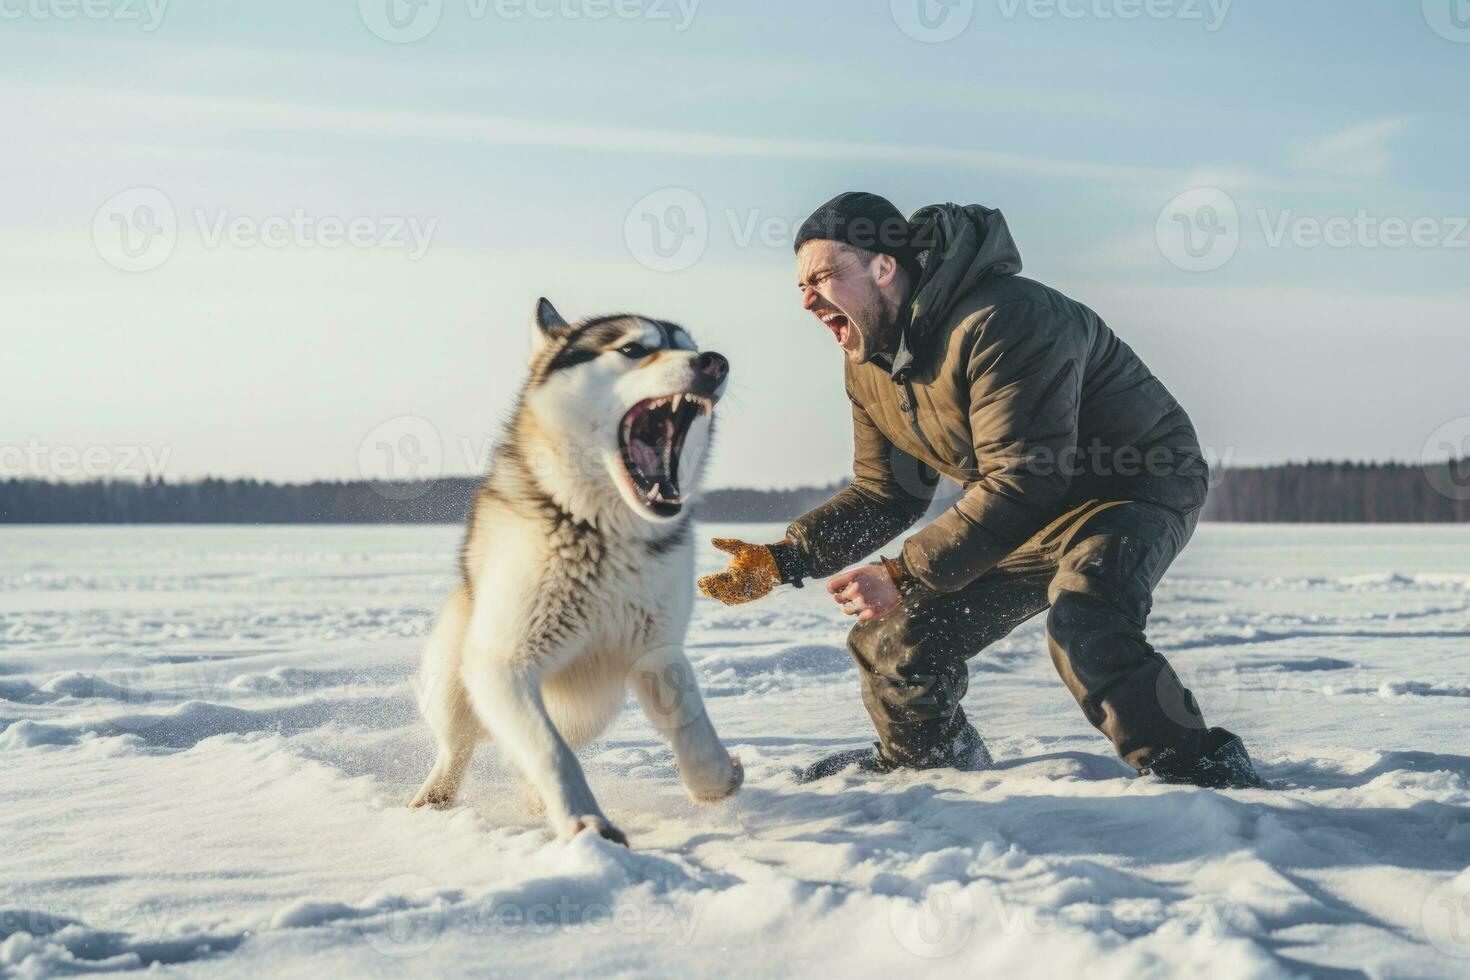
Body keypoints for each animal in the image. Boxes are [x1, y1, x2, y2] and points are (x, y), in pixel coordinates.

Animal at [408, 296, 740, 846]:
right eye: (632, 349)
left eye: (691, 346)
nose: (715, 362)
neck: (602, 534)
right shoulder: (503, 664)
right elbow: (549, 750)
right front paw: (587, 822)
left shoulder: (656, 647)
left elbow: (691, 719)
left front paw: (713, 778)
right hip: (458, 680)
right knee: (461, 745)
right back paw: (436, 796)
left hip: (591, 707)